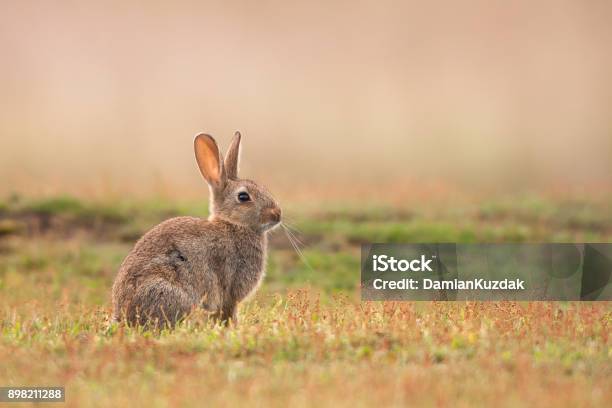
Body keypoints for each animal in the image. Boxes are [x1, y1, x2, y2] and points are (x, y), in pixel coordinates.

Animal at [110, 132, 282, 326]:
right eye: (243, 197)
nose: (277, 214)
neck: (234, 225)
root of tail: (123, 314)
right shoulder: (231, 290)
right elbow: (228, 311)